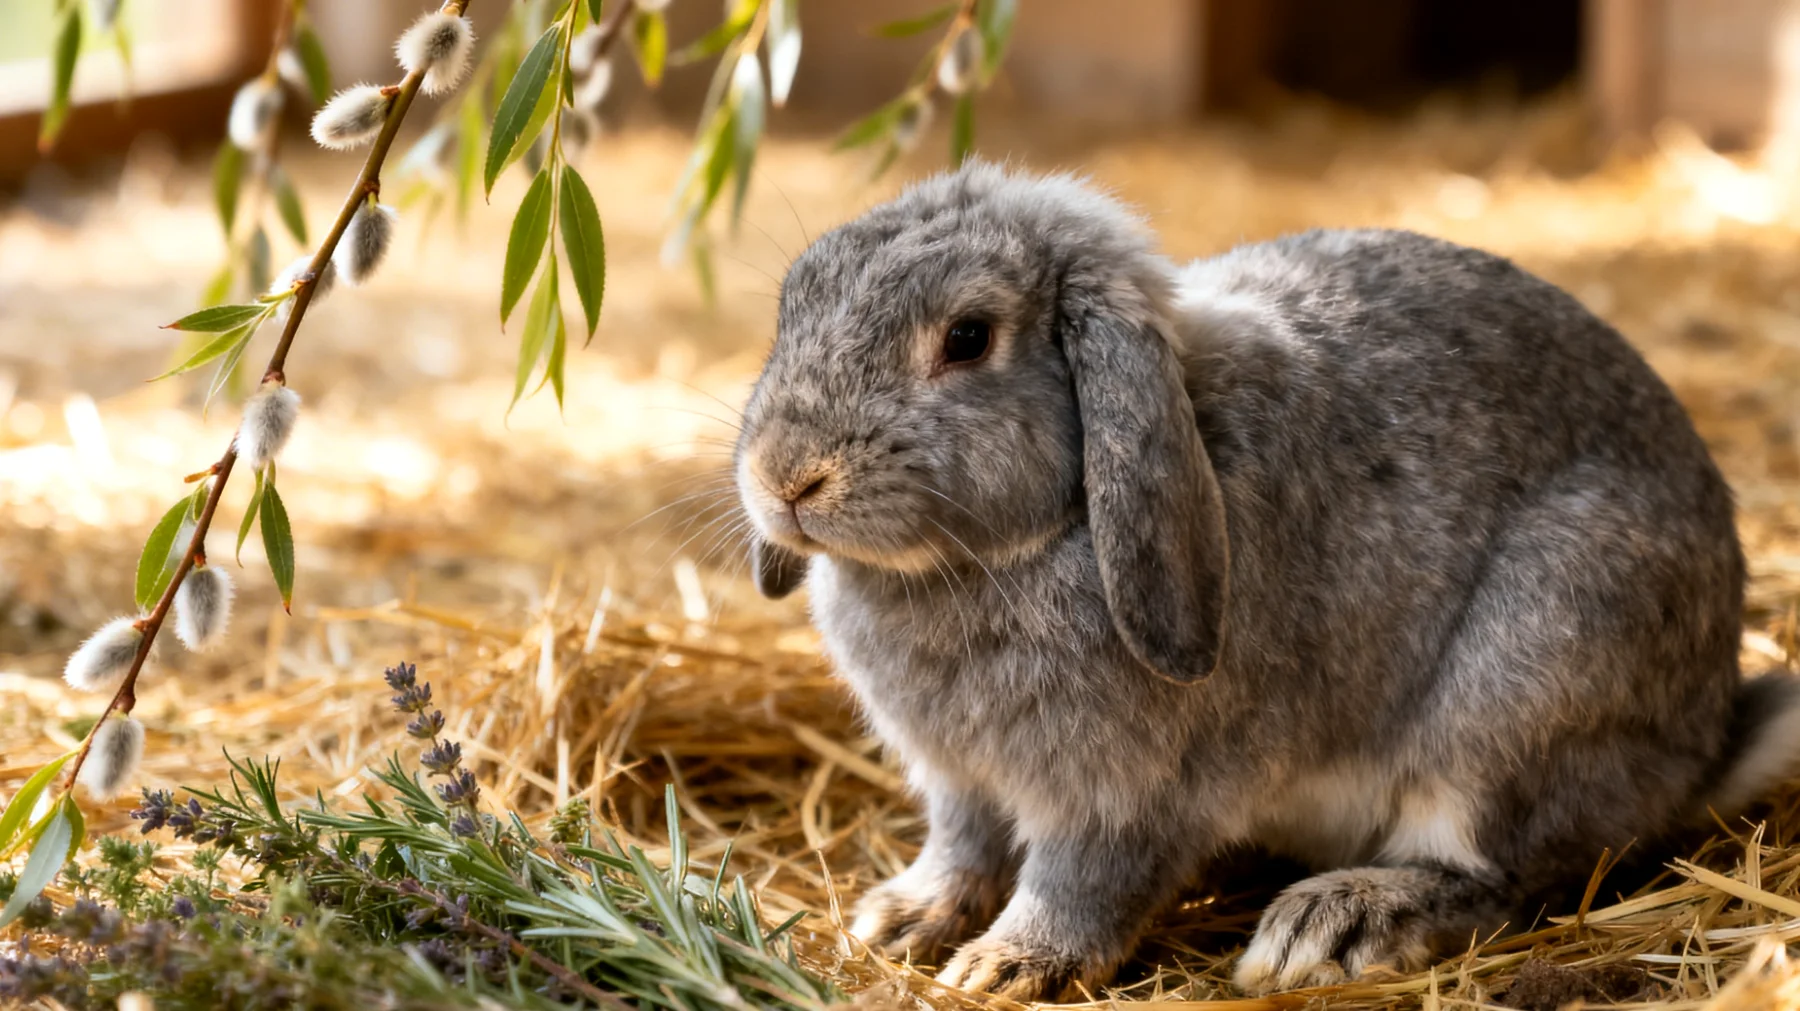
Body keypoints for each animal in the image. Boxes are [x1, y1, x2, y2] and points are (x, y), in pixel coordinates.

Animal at [732, 161, 1800, 1001]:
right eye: (791, 302)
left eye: (967, 338)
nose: (788, 477)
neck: (1029, 541)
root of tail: (1704, 738)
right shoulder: (960, 784)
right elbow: (961, 851)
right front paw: (898, 919)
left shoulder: (1124, 795)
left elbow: (1079, 881)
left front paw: (1006, 967)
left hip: (1527, 680)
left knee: (1502, 870)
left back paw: (1335, 926)